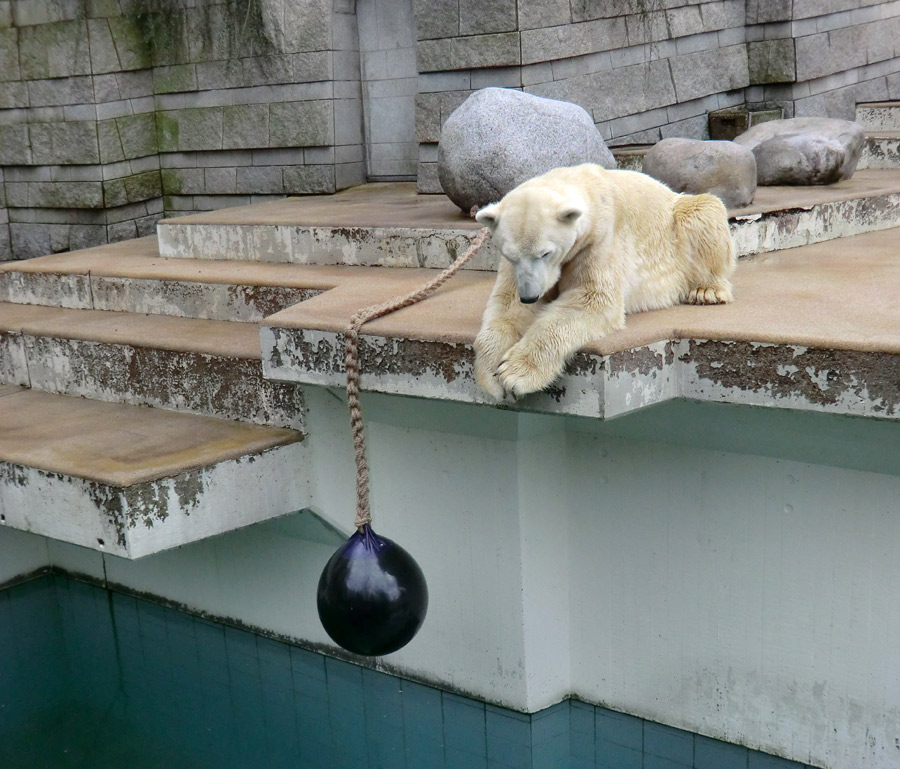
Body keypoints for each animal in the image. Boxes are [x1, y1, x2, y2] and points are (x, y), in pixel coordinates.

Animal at [474, 165, 736, 400]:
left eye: (545, 253)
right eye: (510, 255)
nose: (530, 296)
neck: (583, 185)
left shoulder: (598, 240)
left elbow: (592, 299)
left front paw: (514, 374)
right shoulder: (518, 270)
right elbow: (508, 305)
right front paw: (491, 375)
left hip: (678, 222)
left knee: (705, 209)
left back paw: (707, 291)